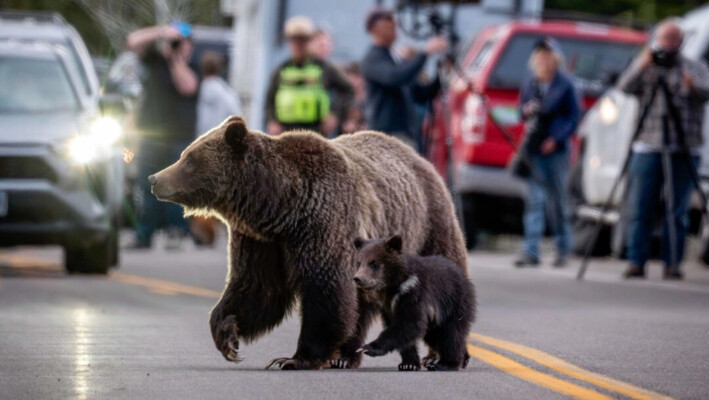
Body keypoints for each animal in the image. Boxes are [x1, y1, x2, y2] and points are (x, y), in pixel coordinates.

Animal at [350, 236, 472, 370]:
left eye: (373, 263)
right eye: (359, 263)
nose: (357, 278)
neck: (394, 286)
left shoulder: (414, 294)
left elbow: (410, 322)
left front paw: (367, 348)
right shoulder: (388, 306)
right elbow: (400, 328)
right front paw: (408, 364)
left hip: (454, 303)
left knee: (450, 334)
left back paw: (447, 363)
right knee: (436, 335)